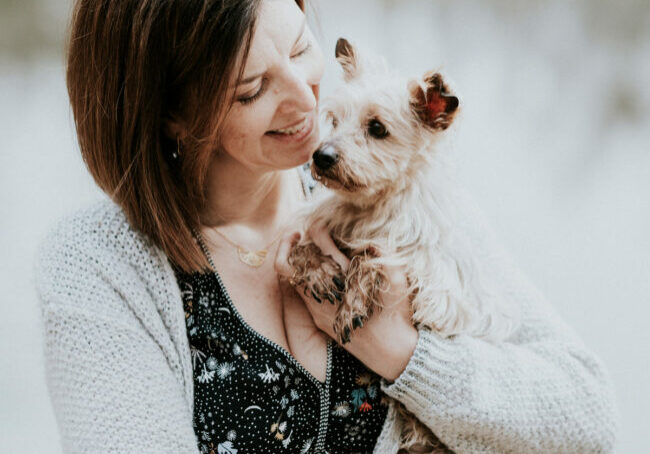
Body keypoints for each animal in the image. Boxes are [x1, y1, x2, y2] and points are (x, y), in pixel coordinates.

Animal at [286, 38, 520, 450]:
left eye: (378, 128)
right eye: (334, 119)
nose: (321, 156)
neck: (371, 208)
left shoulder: (439, 293)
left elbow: (374, 254)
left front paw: (354, 301)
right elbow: (298, 249)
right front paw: (318, 272)